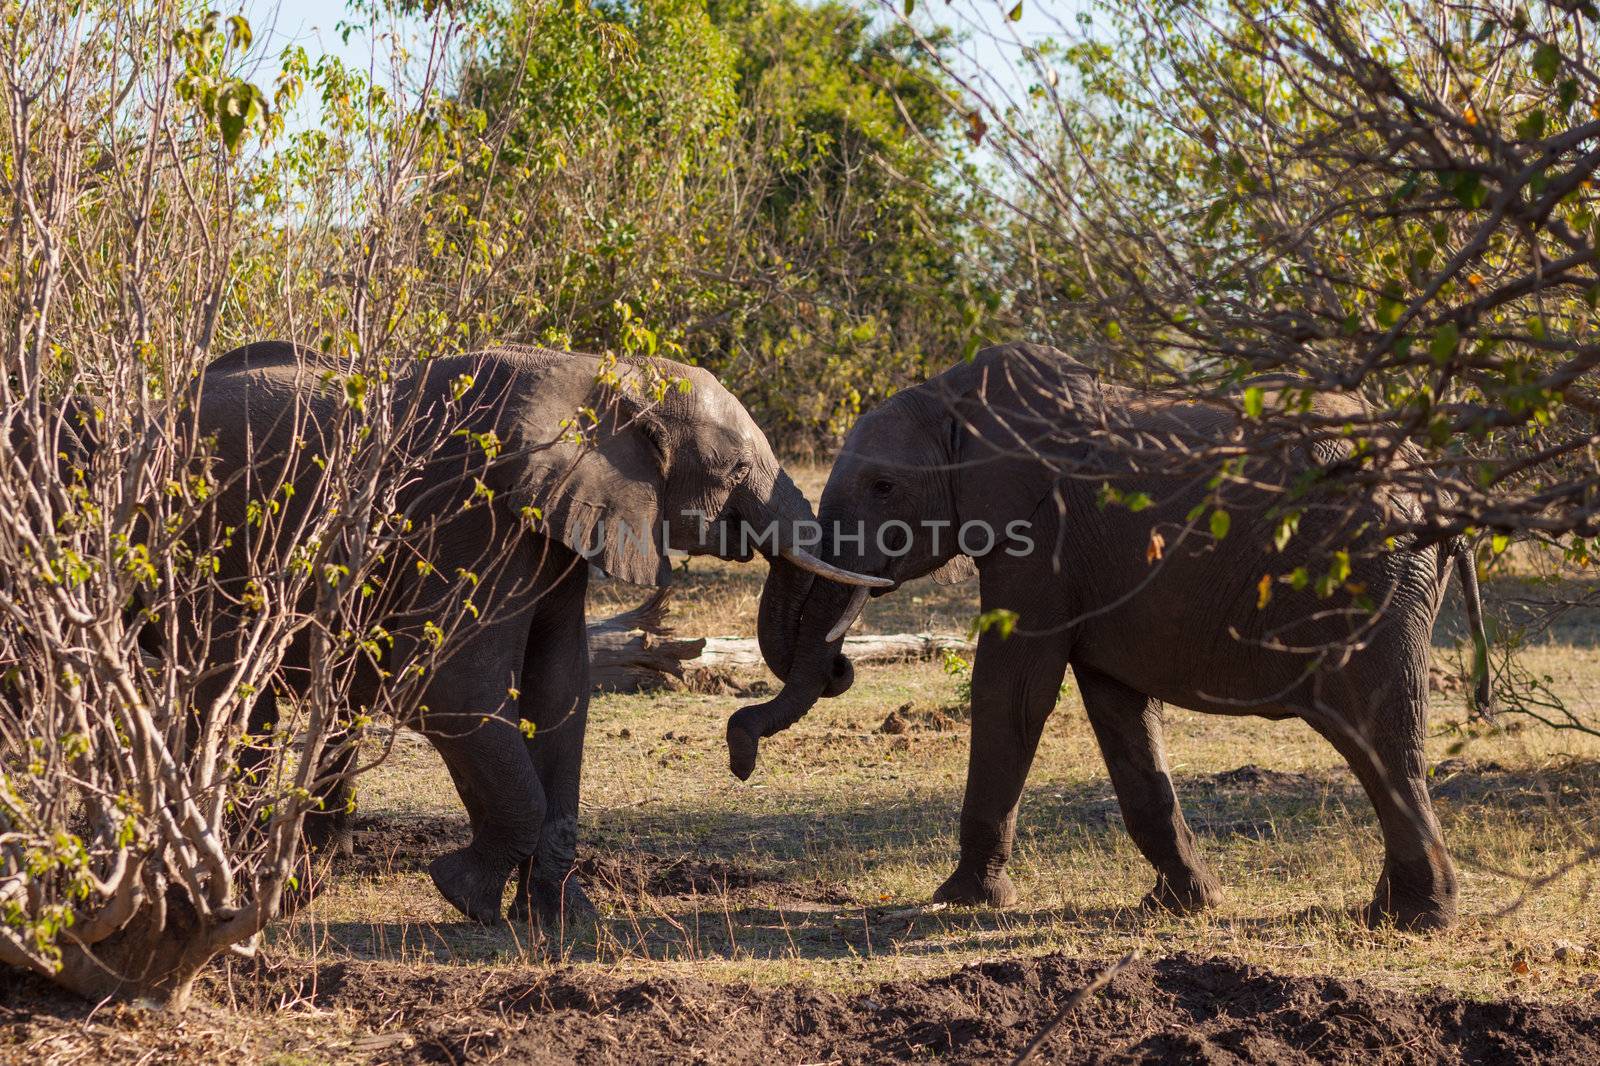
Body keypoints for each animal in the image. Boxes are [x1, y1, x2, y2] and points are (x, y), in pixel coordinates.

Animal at [195, 340, 889, 921]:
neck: (603, 376)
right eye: (738, 469)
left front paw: (562, 917)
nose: (740, 762)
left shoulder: (563, 519)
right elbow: (451, 685)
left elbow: (559, 685)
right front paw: (466, 896)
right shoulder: (468, 512)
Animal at [732, 342, 1491, 928]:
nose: (740, 757)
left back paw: (1417, 919)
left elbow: (1012, 693)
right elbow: (1118, 709)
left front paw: (961, 900)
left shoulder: (1041, 538)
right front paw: (1182, 905)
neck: (955, 401)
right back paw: (1387, 912)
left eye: (884, 487)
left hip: (1373, 580)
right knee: (1374, 743)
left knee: (1377, 734)